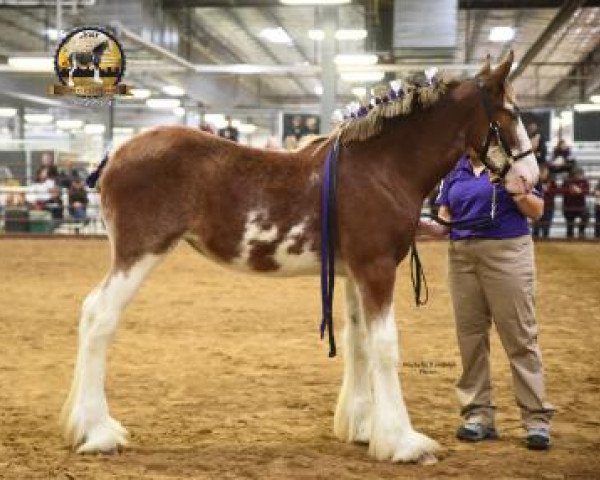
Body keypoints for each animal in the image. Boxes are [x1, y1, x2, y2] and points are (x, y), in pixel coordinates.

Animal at [61, 52, 540, 464]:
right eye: (513, 113)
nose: (530, 179)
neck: (381, 168)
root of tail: (115, 154)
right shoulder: (377, 268)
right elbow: (385, 347)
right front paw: (403, 442)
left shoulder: (353, 273)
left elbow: (358, 343)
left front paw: (362, 428)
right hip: (140, 253)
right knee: (99, 317)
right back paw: (99, 431)